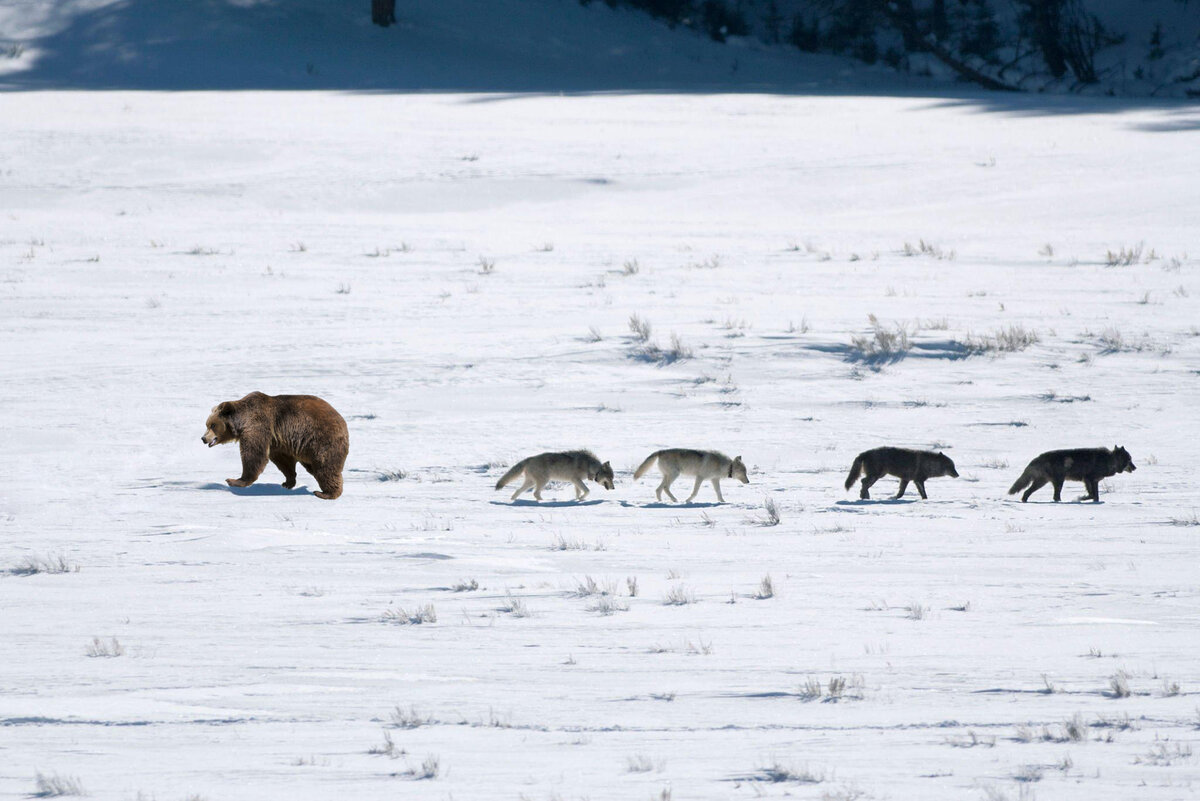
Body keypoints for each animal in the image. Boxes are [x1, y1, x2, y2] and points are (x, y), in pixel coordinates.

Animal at [202, 390, 350, 496]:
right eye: (207, 424)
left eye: (213, 425)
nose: (203, 438)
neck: (241, 422)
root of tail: (342, 421)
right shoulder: (278, 442)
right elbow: (283, 461)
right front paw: (287, 482)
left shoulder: (258, 426)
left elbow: (254, 455)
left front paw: (234, 480)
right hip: (308, 447)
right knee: (314, 467)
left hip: (321, 440)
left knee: (325, 466)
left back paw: (326, 493)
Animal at [1003, 443, 1132, 501]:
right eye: (1129, 459)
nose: (1135, 468)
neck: (1109, 460)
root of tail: (1038, 458)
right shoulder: (1089, 479)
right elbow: (1093, 495)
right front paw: (1080, 498)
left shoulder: (1092, 481)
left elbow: (1095, 496)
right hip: (1058, 481)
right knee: (1055, 496)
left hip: (1042, 482)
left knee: (1027, 492)